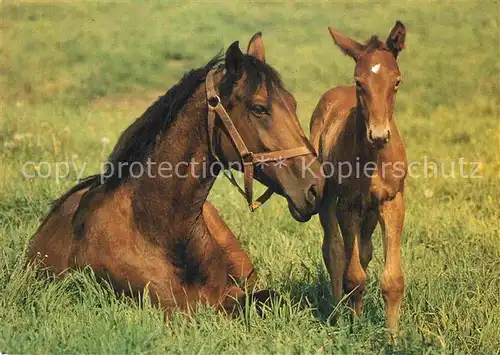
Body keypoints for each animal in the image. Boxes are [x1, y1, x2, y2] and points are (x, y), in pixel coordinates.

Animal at [28, 33, 324, 318]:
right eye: (259, 108)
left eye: (293, 103)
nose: (316, 186)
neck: (157, 230)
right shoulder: (170, 310)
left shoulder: (234, 294)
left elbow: (272, 299)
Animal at [310, 20, 408, 336]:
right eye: (359, 83)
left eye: (397, 81)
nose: (378, 135)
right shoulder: (348, 205)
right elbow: (353, 275)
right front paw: (353, 327)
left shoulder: (392, 201)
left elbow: (392, 280)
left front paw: (393, 337)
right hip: (327, 200)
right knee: (334, 252)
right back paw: (336, 311)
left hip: (371, 210)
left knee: (364, 251)